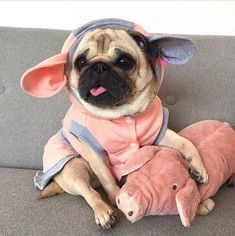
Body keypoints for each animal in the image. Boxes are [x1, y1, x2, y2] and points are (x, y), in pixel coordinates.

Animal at [20, 19, 207, 230]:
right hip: (73, 170)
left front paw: (198, 168)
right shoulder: (95, 151)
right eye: (80, 62)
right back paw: (103, 211)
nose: (99, 66)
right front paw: (118, 197)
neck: (123, 113)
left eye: (124, 62)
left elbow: (186, 142)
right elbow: (108, 178)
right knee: (90, 192)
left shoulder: (160, 133)